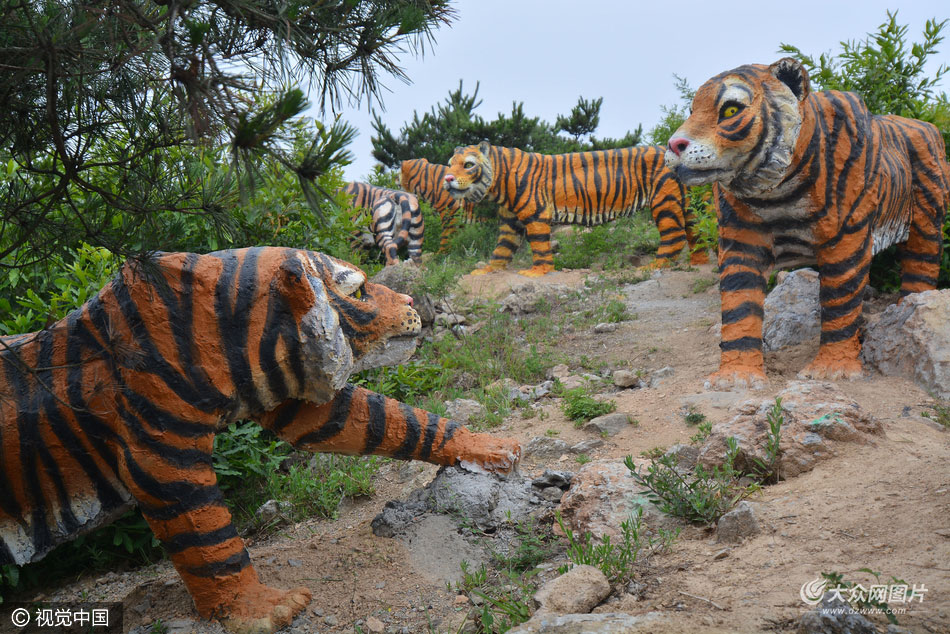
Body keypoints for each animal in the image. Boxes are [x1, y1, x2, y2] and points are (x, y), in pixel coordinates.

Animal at [0, 247, 520, 632]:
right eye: (360, 290)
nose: (413, 302)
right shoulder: (160, 456)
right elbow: (209, 537)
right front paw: (265, 609)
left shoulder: (291, 398)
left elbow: (394, 420)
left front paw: (489, 448)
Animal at [442, 141, 704, 274]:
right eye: (450, 164)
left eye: (468, 164)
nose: (447, 178)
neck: (498, 184)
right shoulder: (510, 220)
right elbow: (503, 248)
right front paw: (487, 269)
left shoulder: (535, 213)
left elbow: (539, 245)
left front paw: (538, 271)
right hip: (686, 204)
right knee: (695, 232)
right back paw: (698, 262)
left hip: (664, 201)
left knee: (675, 236)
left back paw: (655, 265)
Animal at [664, 59, 950, 388]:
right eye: (692, 111)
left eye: (731, 109)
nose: (673, 144)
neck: (776, 191)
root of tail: (927, 125)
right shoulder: (740, 240)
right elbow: (739, 304)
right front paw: (736, 376)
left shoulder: (846, 237)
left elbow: (840, 300)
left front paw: (832, 369)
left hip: (927, 220)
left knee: (920, 267)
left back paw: (909, 312)